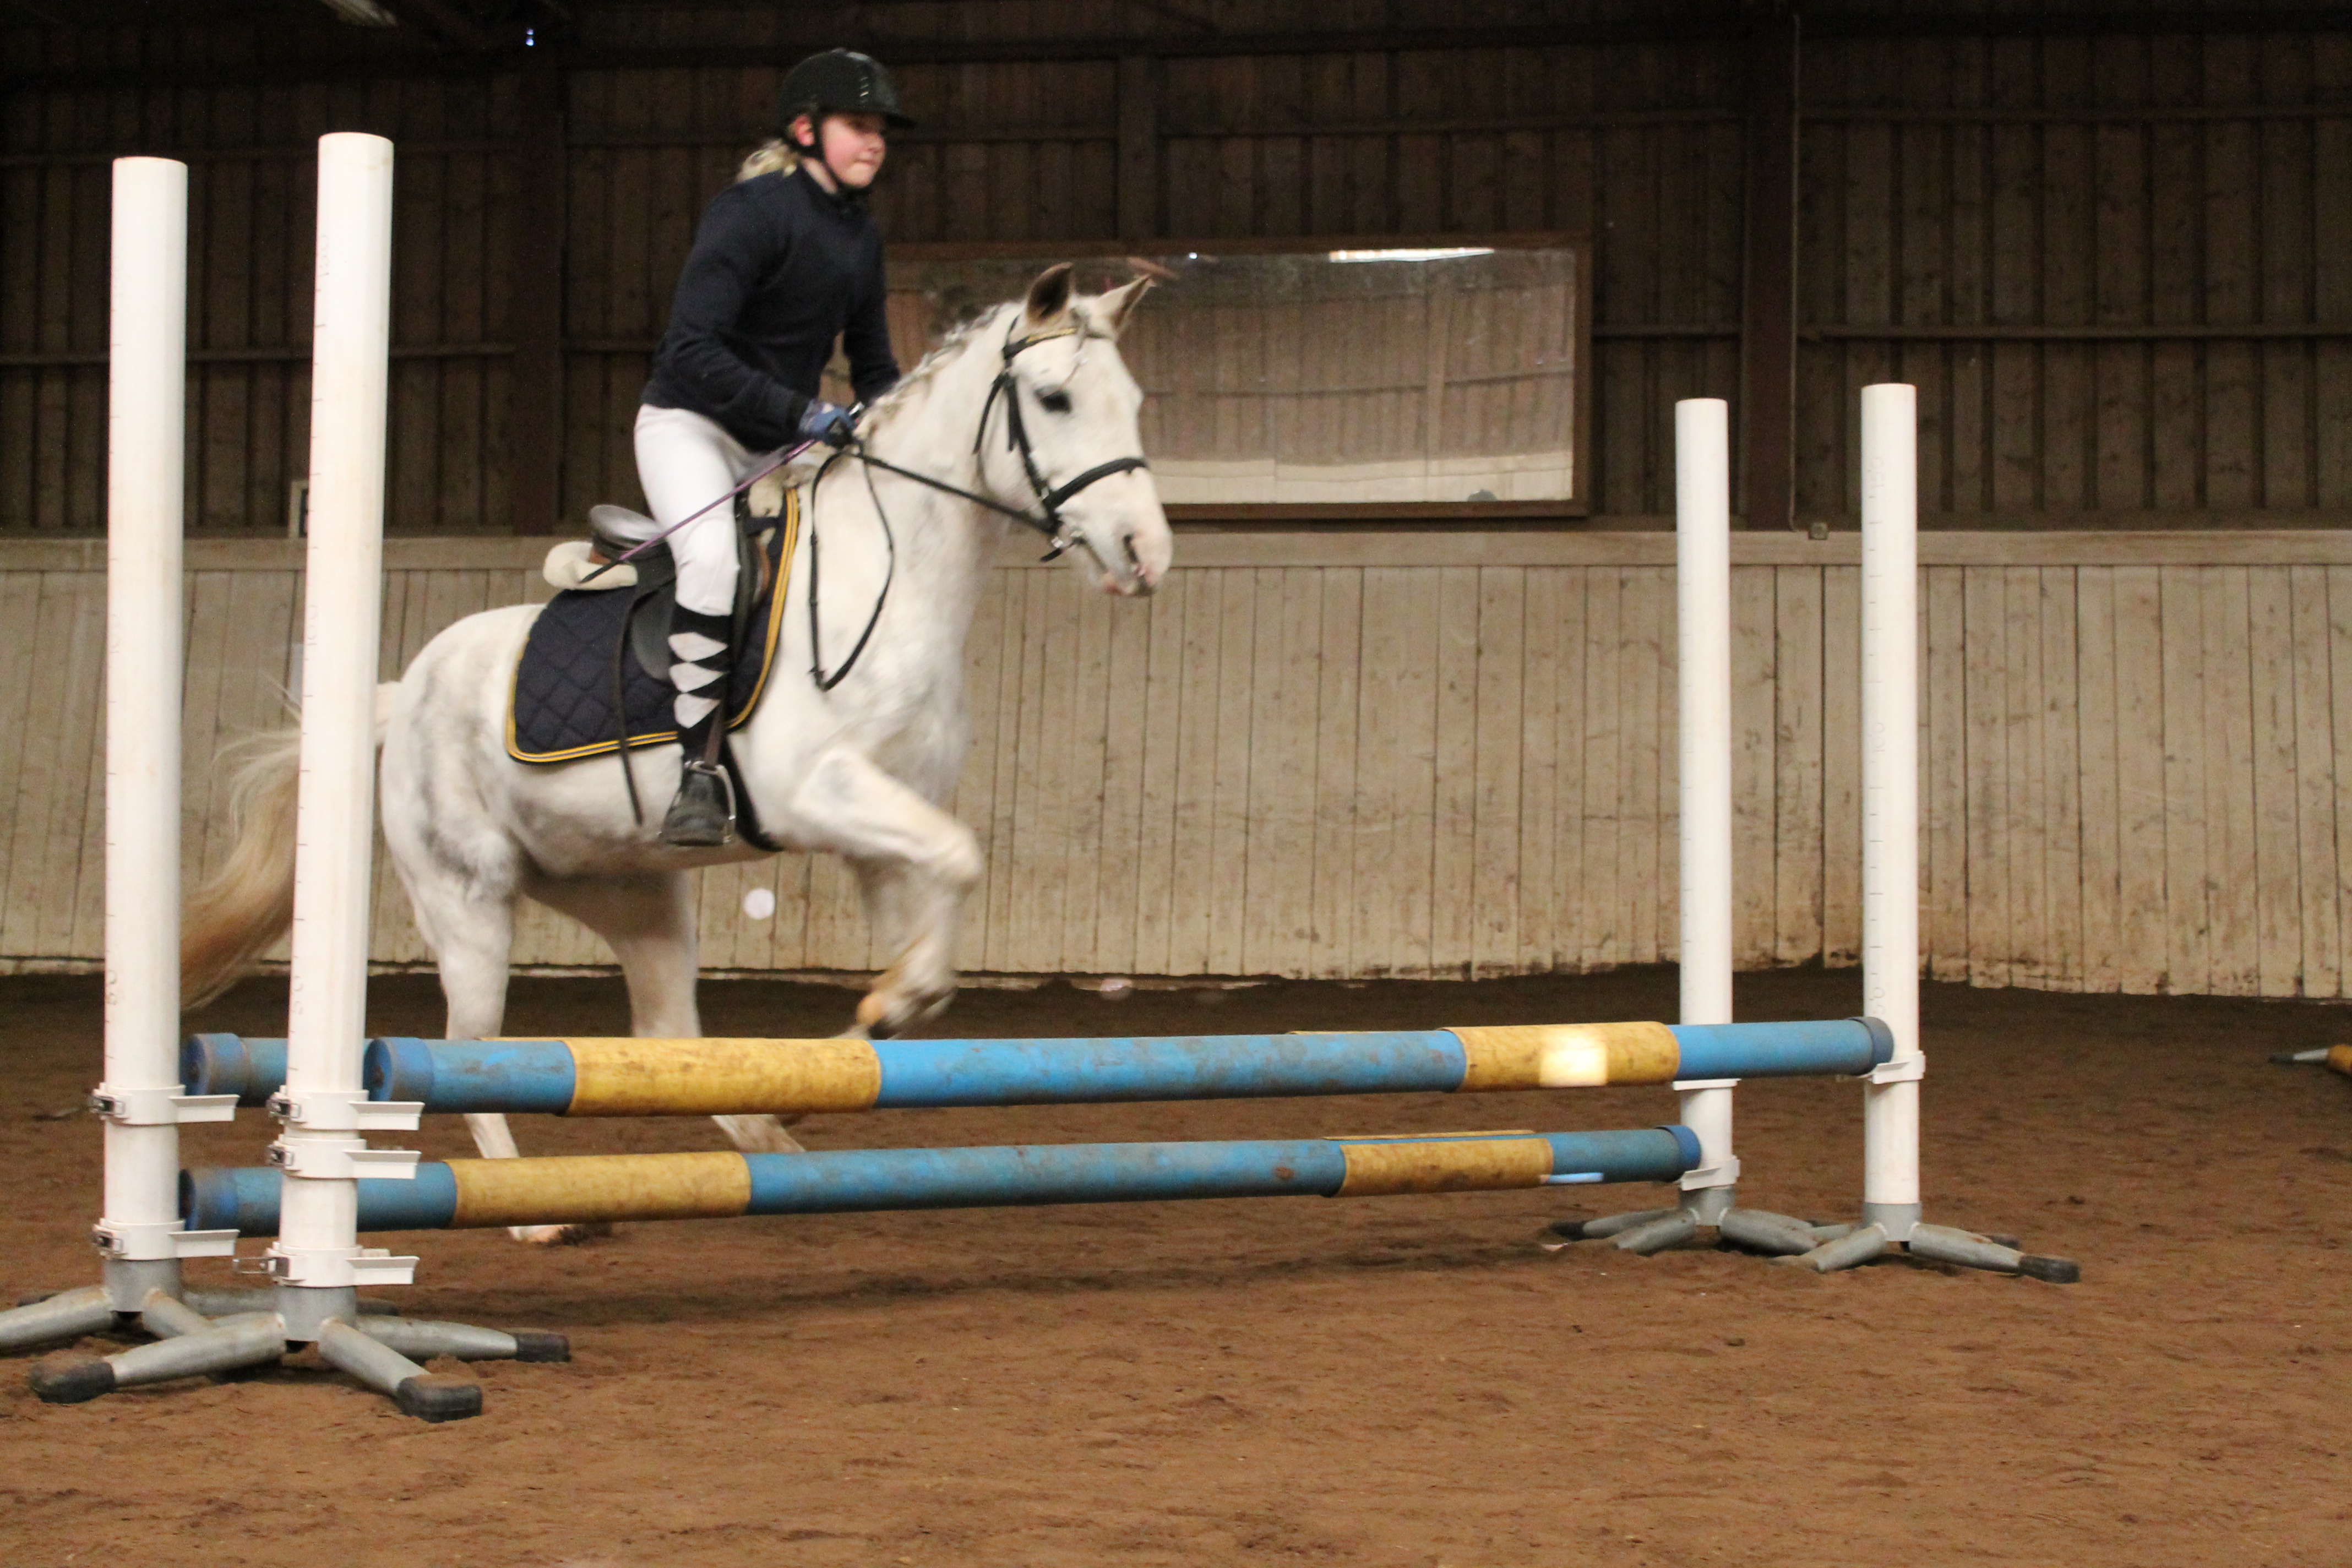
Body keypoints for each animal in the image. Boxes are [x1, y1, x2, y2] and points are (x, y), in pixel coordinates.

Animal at [182, 264, 1172, 1241]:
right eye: (1053, 398)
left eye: (1132, 400)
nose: (1145, 553)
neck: (890, 579)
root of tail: (403, 689)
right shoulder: (817, 792)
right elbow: (959, 864)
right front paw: (878, 1013)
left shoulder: (884, 821)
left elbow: (931, 937)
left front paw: (860, 1035)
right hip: (467, 899)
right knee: (467, 1049)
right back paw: (530, 1213)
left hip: (634, 893)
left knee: (668, 1032)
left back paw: (767, 1131)